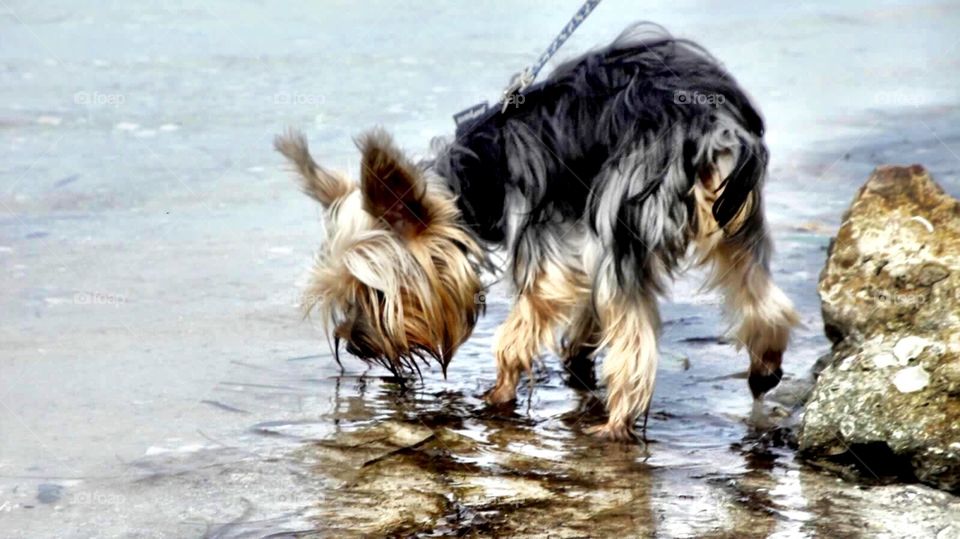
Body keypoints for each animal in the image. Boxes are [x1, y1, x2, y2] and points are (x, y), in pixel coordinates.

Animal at [278, 23, 804, 440]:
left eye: (378, 293)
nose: (353, 342)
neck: (476, 179)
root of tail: (712, 123)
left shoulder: (544, 250)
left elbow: (519, 330)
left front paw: (499, 392)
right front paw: (575, 353)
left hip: (625, 207)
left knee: (634, 333)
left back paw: (616, 422)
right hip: (735, 222)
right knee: (761, 295)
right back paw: (764, 367)